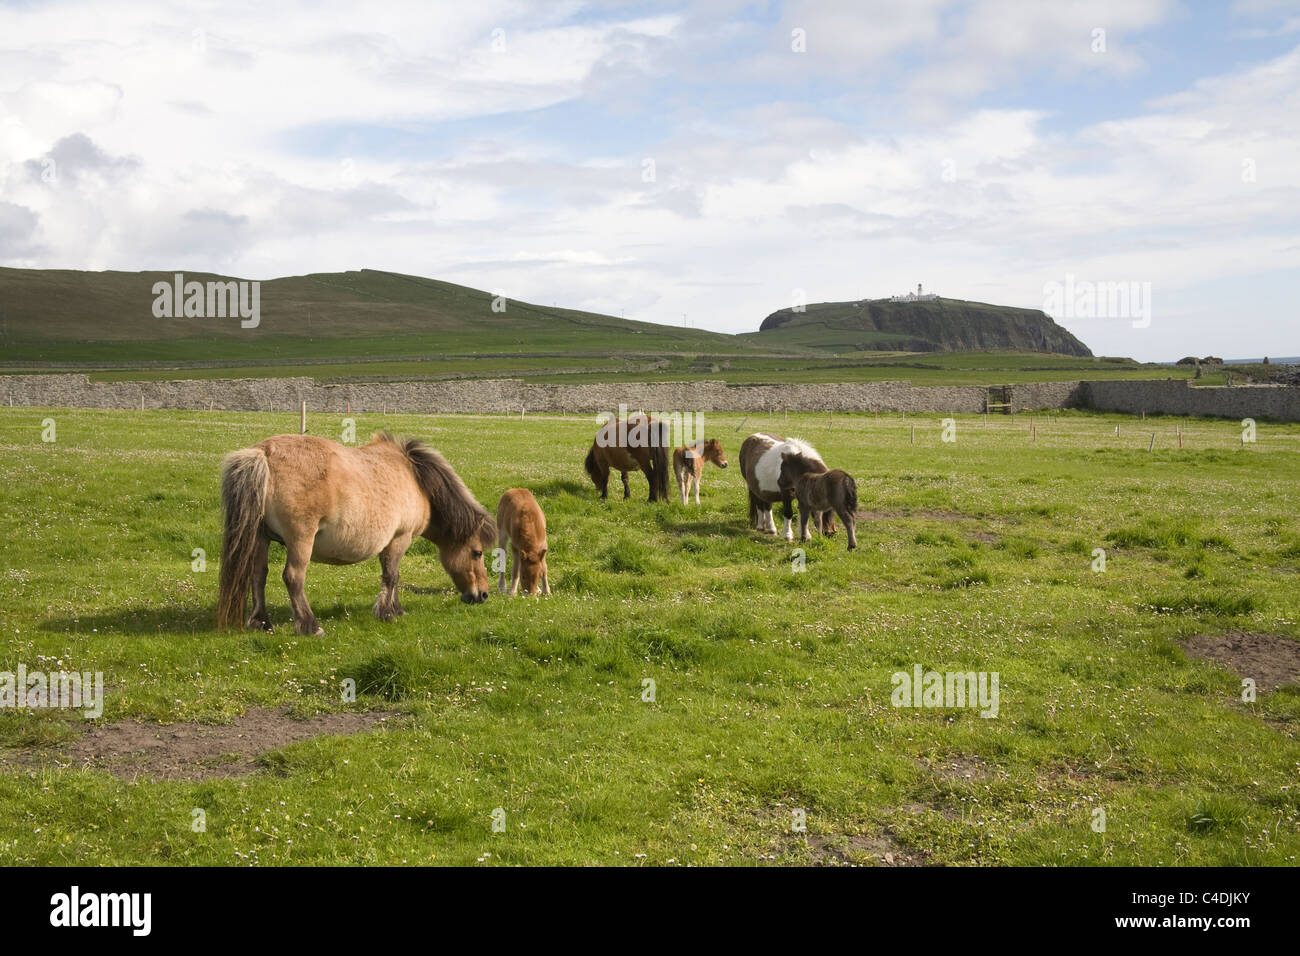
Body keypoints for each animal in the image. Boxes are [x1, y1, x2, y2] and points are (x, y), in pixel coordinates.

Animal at [218, 434, 491, 634]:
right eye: (477, 553)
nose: (483, 594)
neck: (416, 479)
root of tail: (264, 453)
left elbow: (394, 576)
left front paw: (396, 609)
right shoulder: (400, 539)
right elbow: (391, 576)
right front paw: (387, 613)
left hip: (260, 537)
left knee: (258, 575)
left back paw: (262, 622)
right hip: (300, 539)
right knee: (293, 577)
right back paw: (310, 625)